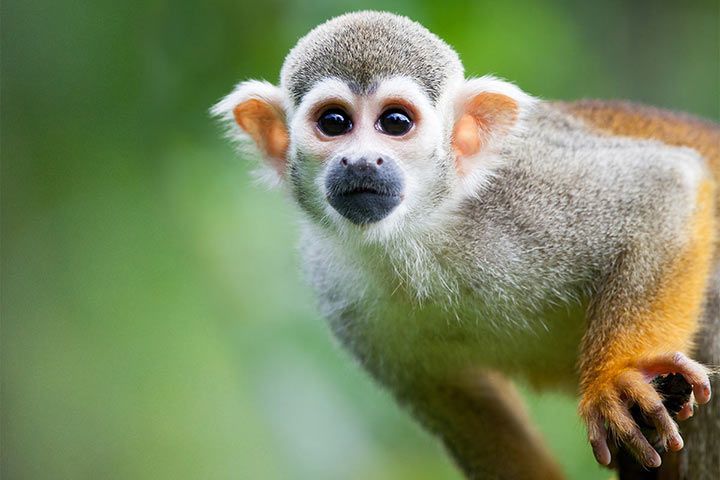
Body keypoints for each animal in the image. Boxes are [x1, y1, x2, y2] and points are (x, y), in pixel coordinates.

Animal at [211, 11, 719, 480]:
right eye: (334, 122)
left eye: (395, 122)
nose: (360, 161)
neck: (420, 231)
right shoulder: (337, 288)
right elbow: (467, 407)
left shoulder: (525, 189)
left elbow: (664, 186)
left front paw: (619, 377)